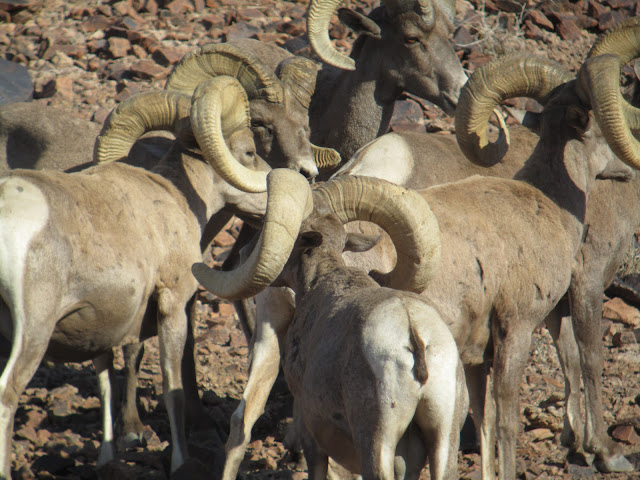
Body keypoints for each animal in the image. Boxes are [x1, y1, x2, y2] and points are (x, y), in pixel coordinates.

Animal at [0, 75, 276, 476]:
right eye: (250, 152)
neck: (175, 195)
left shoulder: (101, 327)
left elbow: (106, 384)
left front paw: (109, 456)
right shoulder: (172, 304)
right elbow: (173, 387)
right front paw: (179, 462)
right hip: (33, 329)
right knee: (8, 391)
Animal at [192, 170, 468, 480]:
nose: (244, 253)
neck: (323, 279)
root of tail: (413, 334)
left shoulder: (311, 431)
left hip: (377, 445)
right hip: (443, 442)